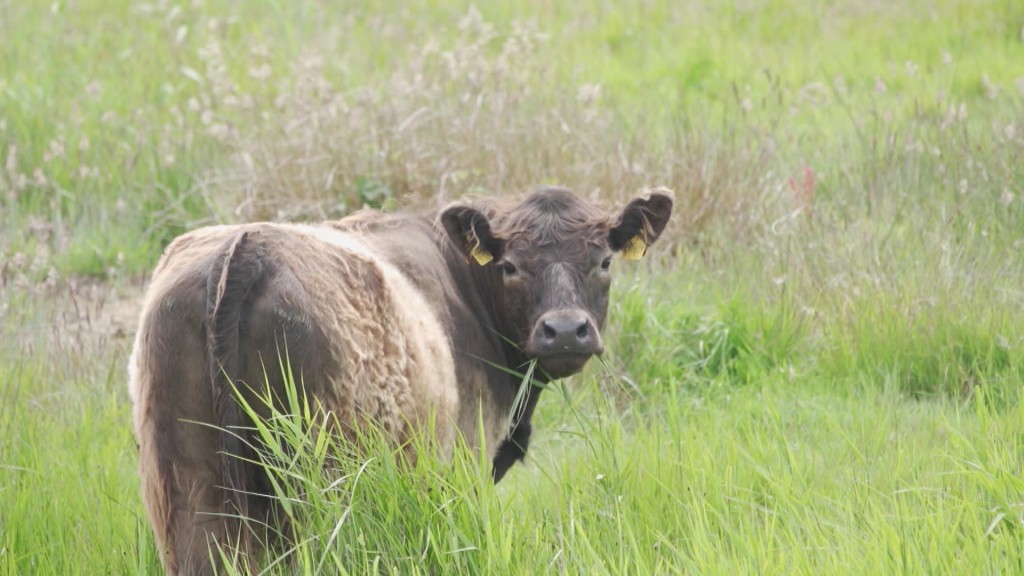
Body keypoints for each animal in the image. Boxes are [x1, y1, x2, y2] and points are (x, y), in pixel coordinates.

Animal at [128, 187, 671, 569]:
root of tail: (244, 248)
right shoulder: (463, 464)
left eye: (603, 261)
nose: (564, 331)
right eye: (511, 266)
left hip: (188, 488)